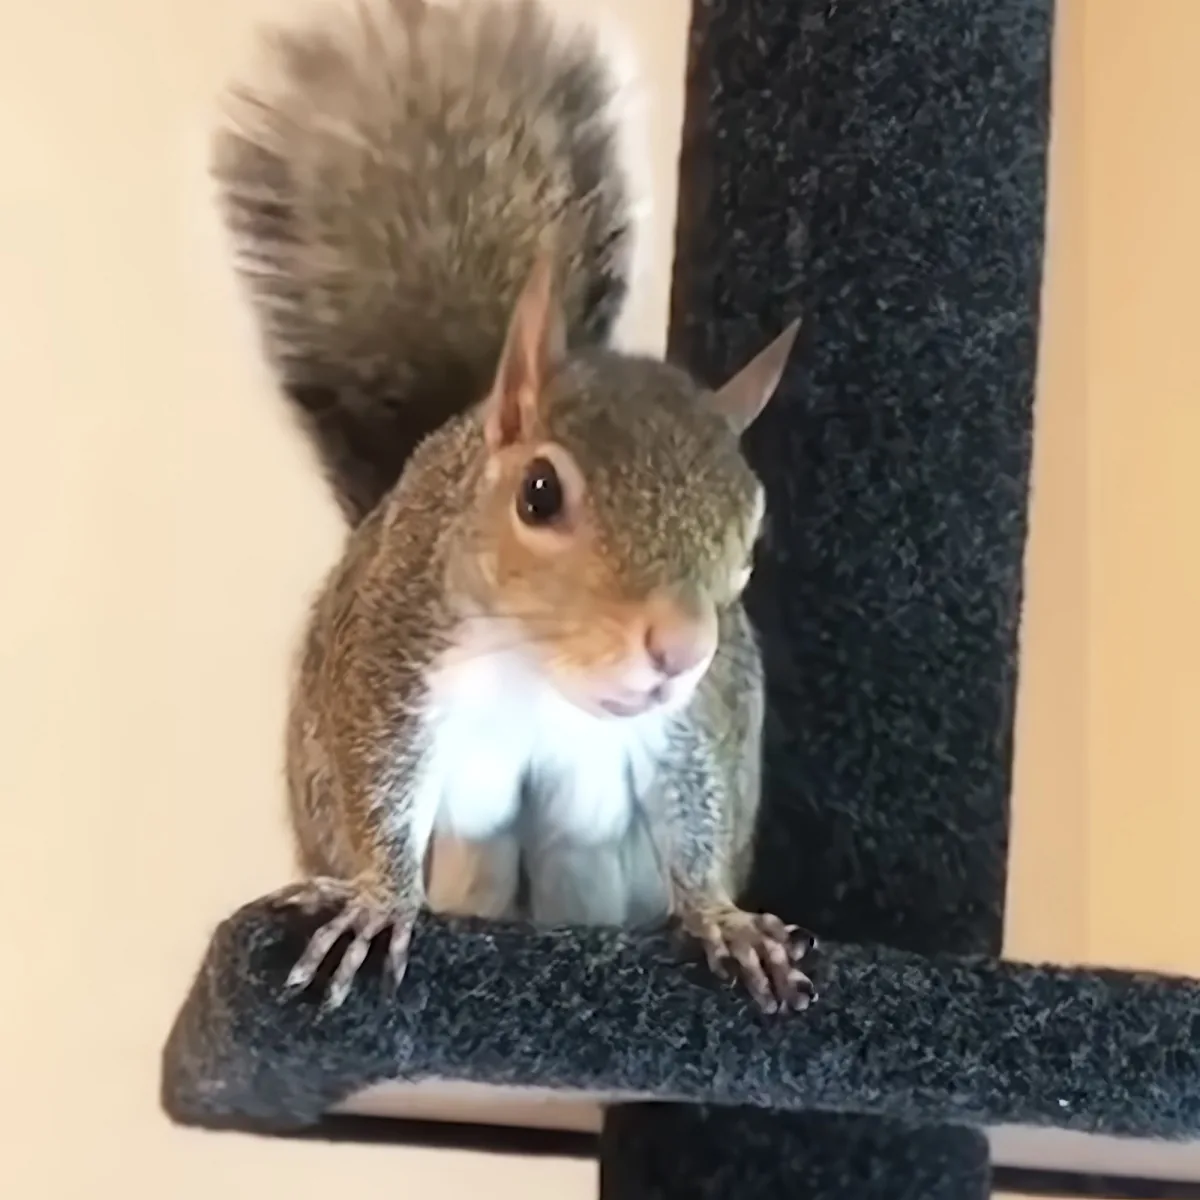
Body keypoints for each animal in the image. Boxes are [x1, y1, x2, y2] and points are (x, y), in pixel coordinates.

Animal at [212, 0, 814, 1014]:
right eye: (539, 494)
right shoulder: (394, 660)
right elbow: (378, 786)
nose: (679, 651)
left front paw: (724, 920)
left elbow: (697, 815)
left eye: (750, 539)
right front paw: (377, 900)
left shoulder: (686, 731)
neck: (544, 677)